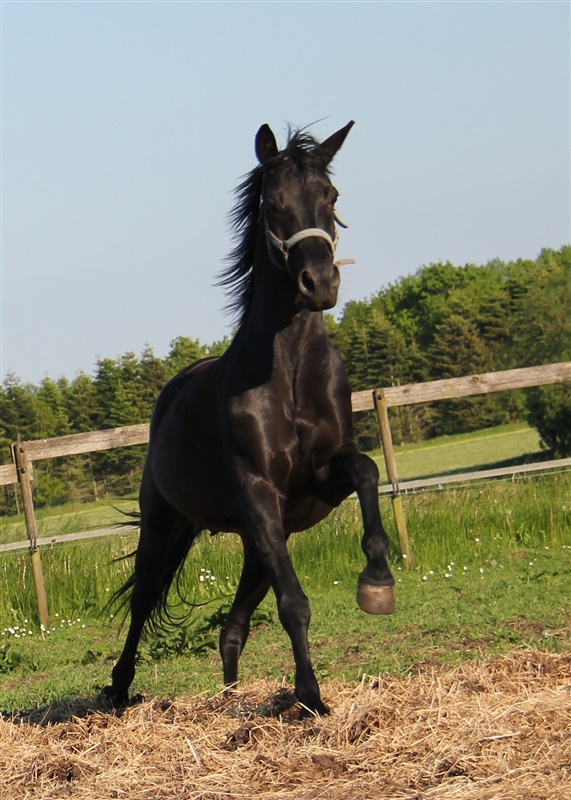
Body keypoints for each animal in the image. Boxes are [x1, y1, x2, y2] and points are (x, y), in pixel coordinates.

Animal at [104, 121, 395, 715]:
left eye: (332, 197)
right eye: (273, 205)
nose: (319, 284)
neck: (289, 374)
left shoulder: (318, 483)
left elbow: (367, 469)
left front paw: (377, 582)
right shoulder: (260, 489)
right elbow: (294, 604)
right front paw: (311, 698)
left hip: (257, 543)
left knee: (232, 627)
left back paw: (229, 697)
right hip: (167, 523)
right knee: (143, 600)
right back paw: (118, 691)